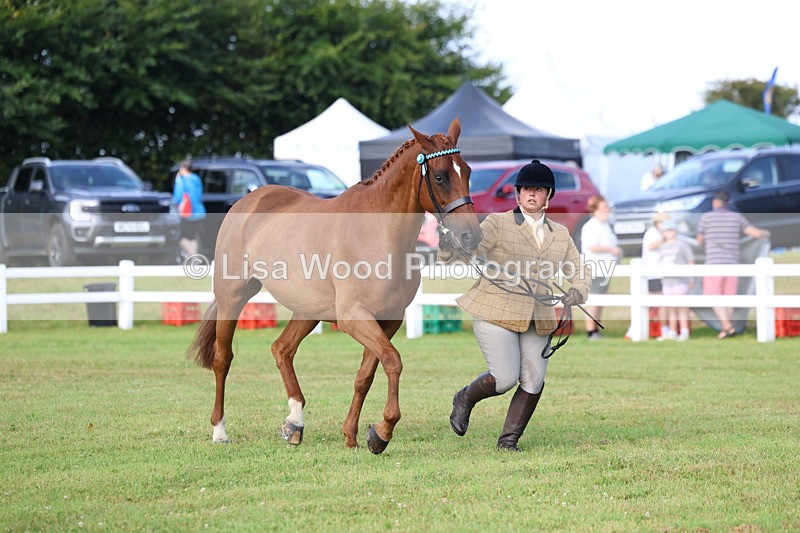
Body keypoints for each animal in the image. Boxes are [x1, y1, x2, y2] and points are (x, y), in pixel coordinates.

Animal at [187, 118, 482, 453]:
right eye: (440, 176)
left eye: (468, 171)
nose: (471, 236)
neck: (378, 232)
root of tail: (247, 200)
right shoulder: (354, 318)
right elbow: (393, 361)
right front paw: (383, 430)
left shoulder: (388, 320)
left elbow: (366, 375)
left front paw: (353, 435)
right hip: (232, 297)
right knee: (223, 359)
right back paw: (220, 430)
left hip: (307, 310)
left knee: (282, 349)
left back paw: (294, 423)